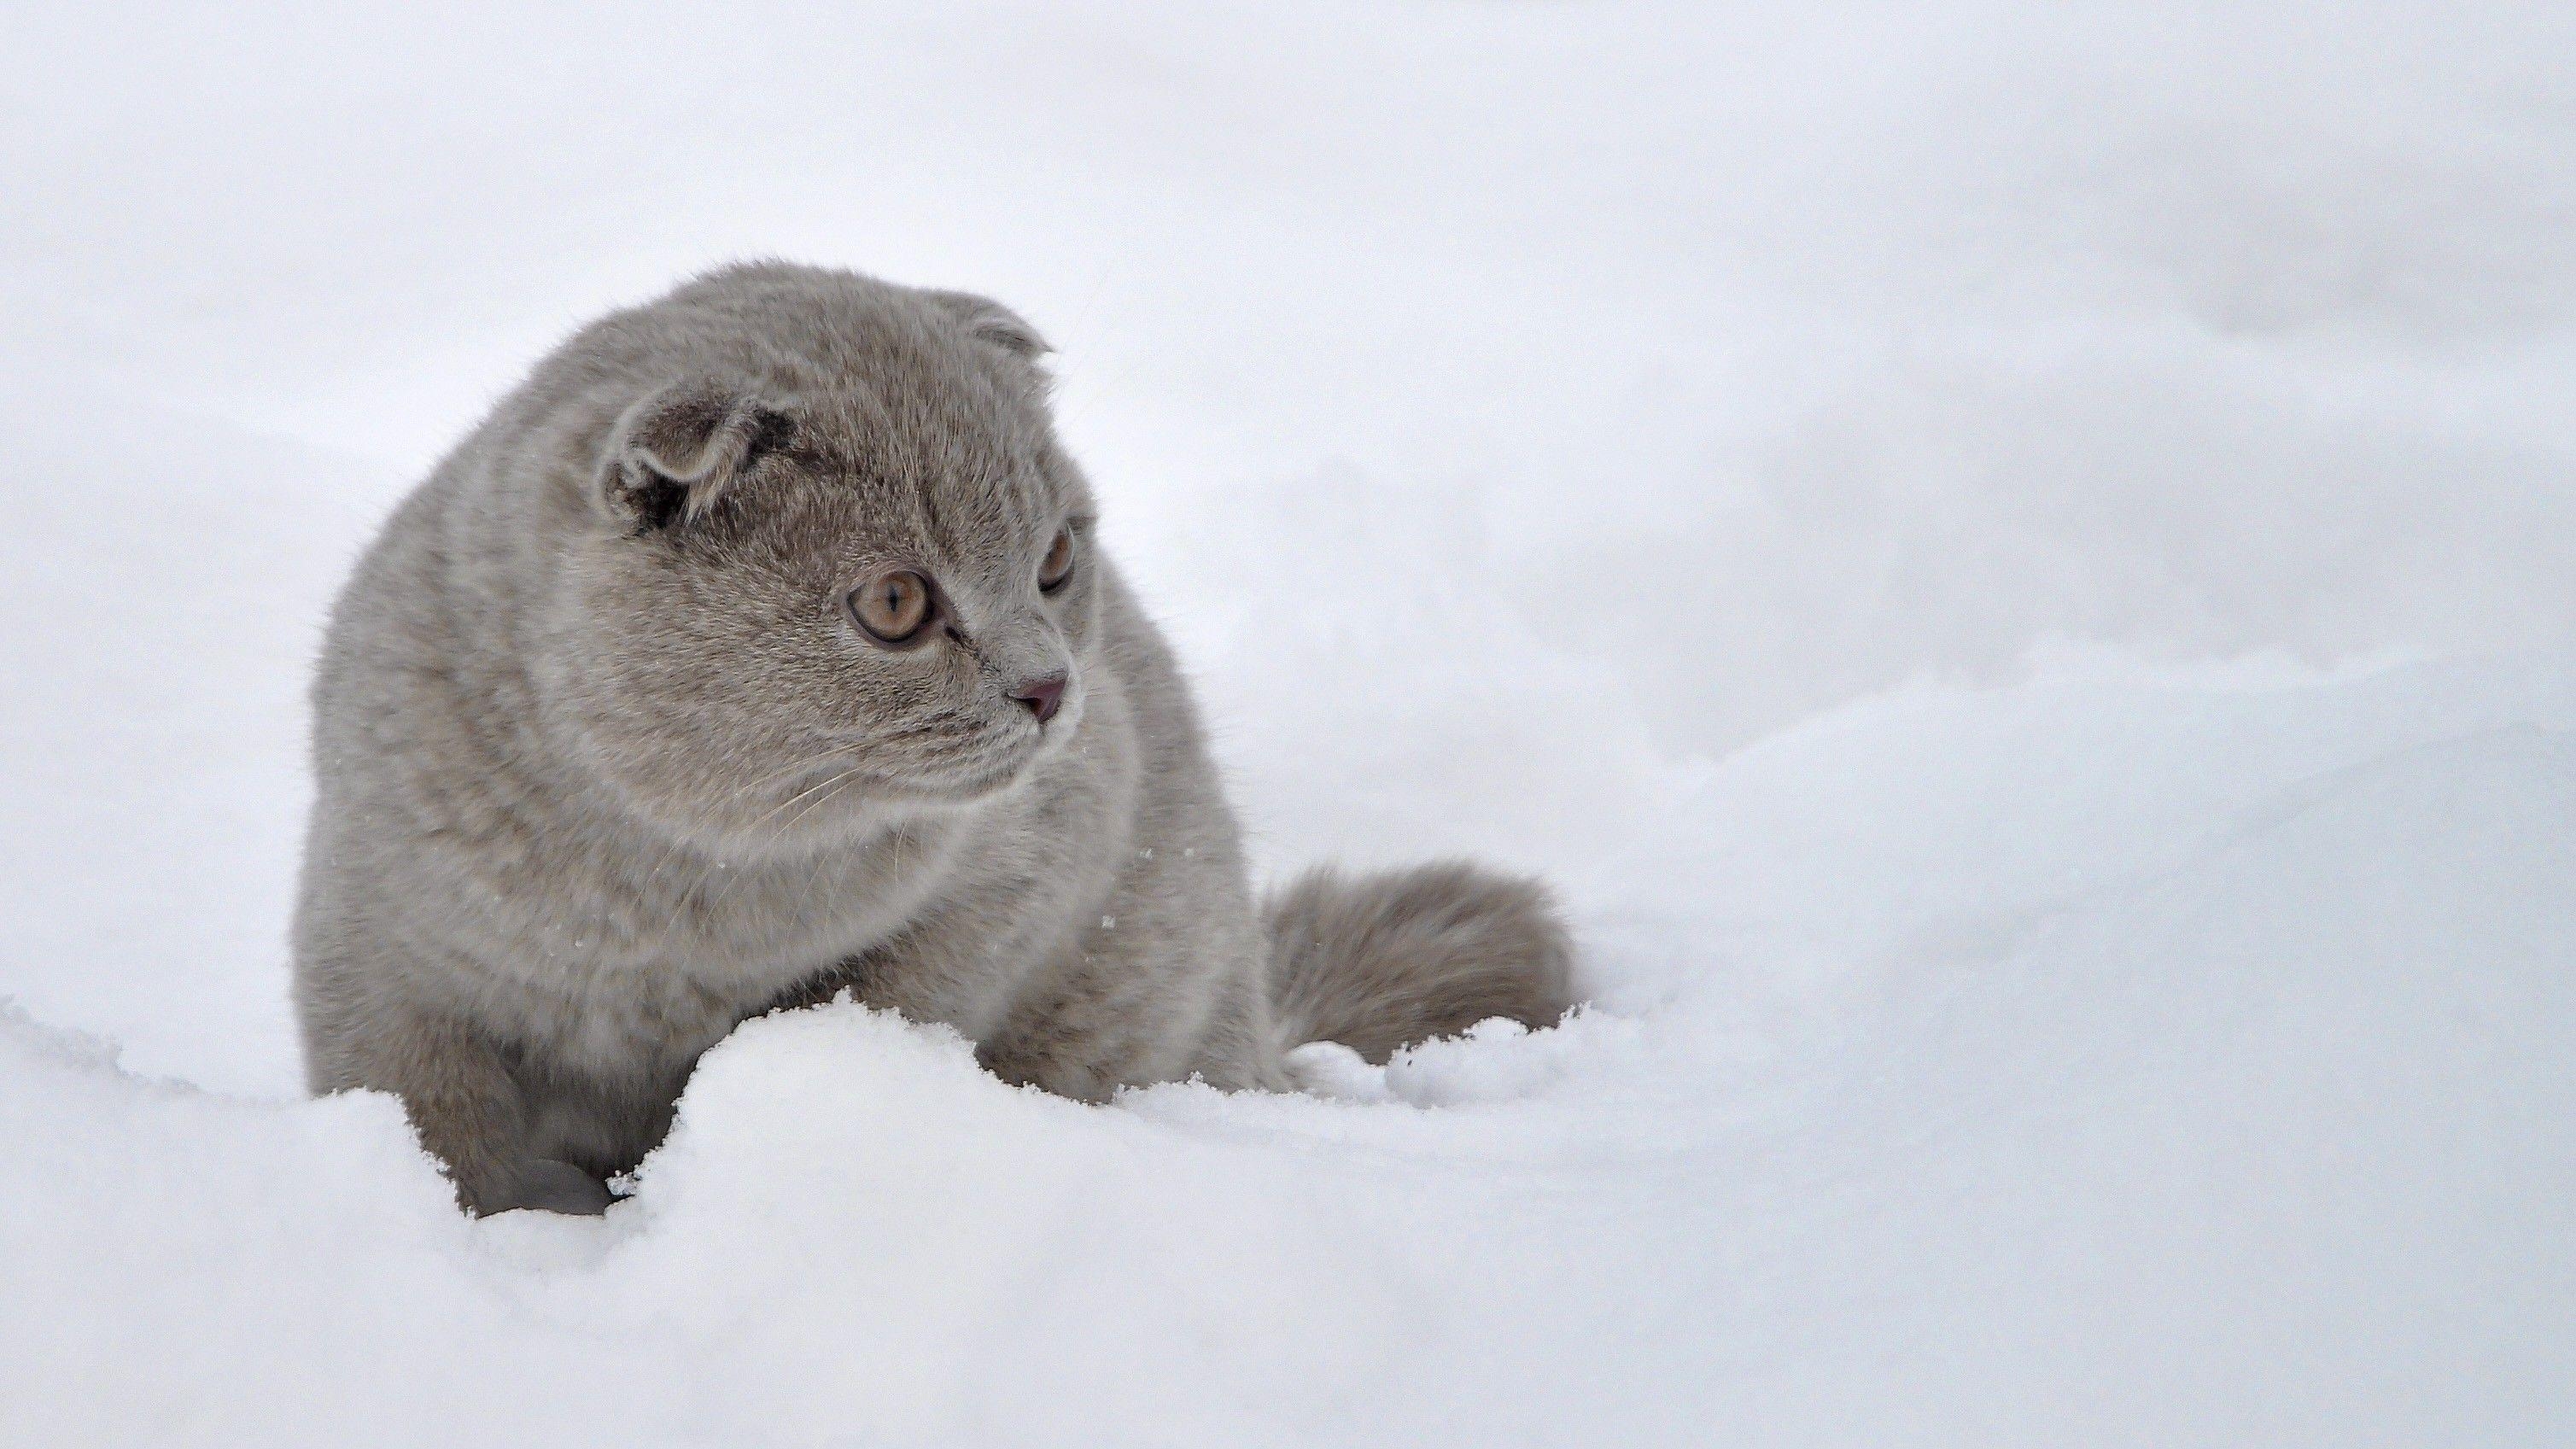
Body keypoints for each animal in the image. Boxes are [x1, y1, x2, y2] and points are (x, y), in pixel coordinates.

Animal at [292, 261, 1556, 1207]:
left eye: (1057, 558)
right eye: (896, 604)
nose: (1050, 688)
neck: (668, 901)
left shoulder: (1030, 861)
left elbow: (882, 1000)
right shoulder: (377, 946)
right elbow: (438, 1122)